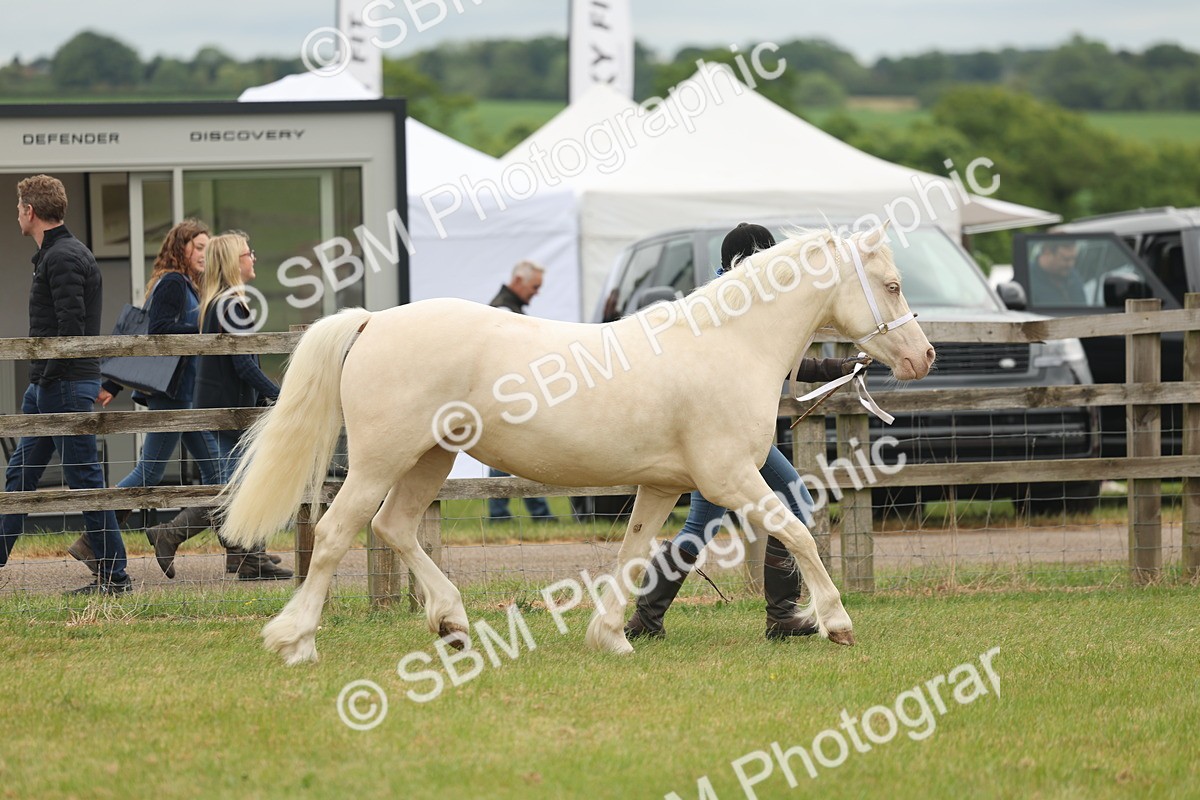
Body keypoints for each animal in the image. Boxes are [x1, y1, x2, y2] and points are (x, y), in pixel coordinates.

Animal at [219, 224, 935, 665]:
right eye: (893, 285)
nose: (924, 356)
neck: (727, 343)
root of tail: (371, 322)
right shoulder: (730, 477)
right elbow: (798, 534)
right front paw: (836, 623)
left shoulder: (665, 484)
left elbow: (637, 552)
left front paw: (611, 637)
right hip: (380, 461)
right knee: (337, 533)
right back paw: (296, 642)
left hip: (431, 458)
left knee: (395, 528)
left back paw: (452, 624)